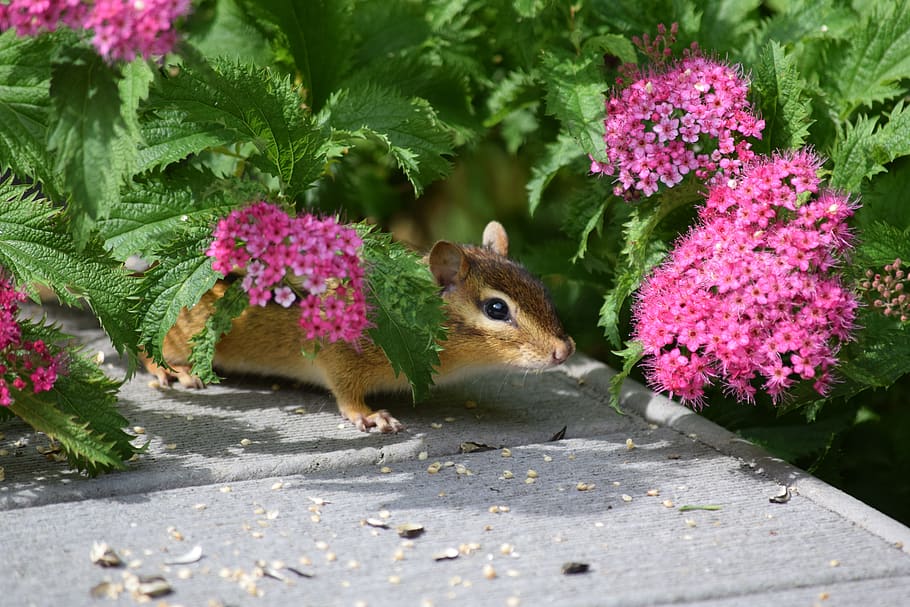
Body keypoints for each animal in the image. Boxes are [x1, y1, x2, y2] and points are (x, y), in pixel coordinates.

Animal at [143, 221, 575, 432]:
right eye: (496, 308)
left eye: (540, 288)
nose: (565, 349)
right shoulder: (339, 355)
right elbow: (346, 392)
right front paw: (368, 415)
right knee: (146, 350)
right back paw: (173, 372)